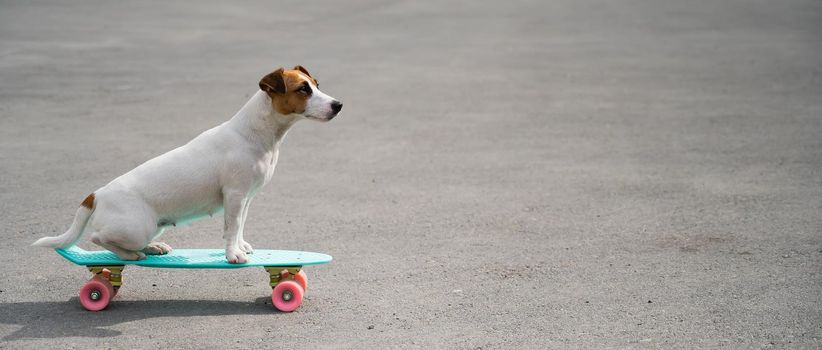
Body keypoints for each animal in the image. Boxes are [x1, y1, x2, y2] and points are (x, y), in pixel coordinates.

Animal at [32, 65, 342, 262]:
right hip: (137, 227)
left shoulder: (246, 198)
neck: (255, 133)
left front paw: (241, 247)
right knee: (100, 239)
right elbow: (231, 228)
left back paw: (154, 247)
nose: (338, 105)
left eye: (316, 85)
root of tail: (96, 195)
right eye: (303, 89)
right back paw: (134, 253)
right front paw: (233, 254)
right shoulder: (235, 195)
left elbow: (240, 225)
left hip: (151, 226)